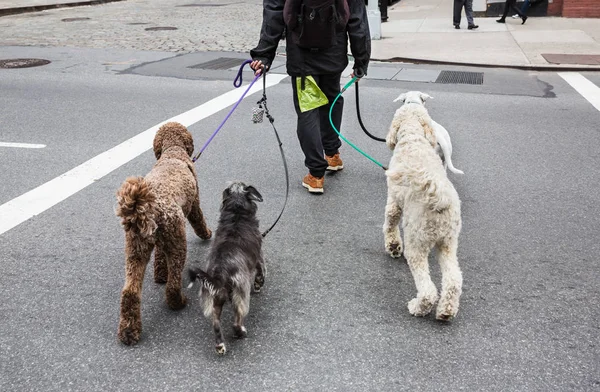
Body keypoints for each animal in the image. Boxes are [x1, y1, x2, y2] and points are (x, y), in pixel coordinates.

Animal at [116, 121, 212, 344]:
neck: (172, 152)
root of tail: (143, 208)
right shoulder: (194, 204)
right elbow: (199, 220)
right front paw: (208, 233)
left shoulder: (160, 239)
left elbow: (159, 257)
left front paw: (159, 274)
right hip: (177, 240)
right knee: (173, 284)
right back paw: (178, 302)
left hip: (137, 248)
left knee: (130, 292)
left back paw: (129, 331)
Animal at [186, 181, 264, 356]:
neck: (237, 213)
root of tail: (219, 273)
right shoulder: (259, 257)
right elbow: (261, 273)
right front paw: (258, 285)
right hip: (240, 294)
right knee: (236, 321)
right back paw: (240, 332)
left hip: (216, 299)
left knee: (216, 324)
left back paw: (220, 345)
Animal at [384, 92, 464, 322]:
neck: (413, 137)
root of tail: (440, 198)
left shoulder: (394, 201)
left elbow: (390, 223)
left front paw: (393, 246)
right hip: (448, 242)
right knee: (453, 280)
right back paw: (446, 312)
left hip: (417, 243)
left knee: (427, 289)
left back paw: (418, 307)